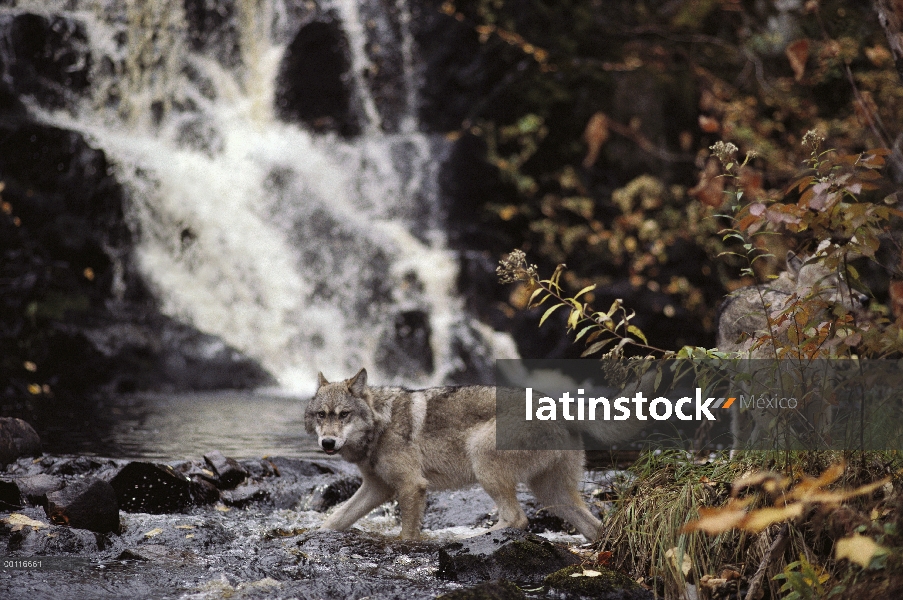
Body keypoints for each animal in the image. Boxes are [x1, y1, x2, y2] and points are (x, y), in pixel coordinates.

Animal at [308, 368, 640, 540]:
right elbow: (335, 519)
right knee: (594, 527)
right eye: (321, 415)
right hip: (552, 495)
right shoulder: (376, 488)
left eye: (344, 415)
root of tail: (559, 405)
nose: (327, 443)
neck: (381, 423)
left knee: (517, 518)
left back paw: (467, 538)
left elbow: (406, 534)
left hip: (483, 462)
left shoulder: (412, 486)